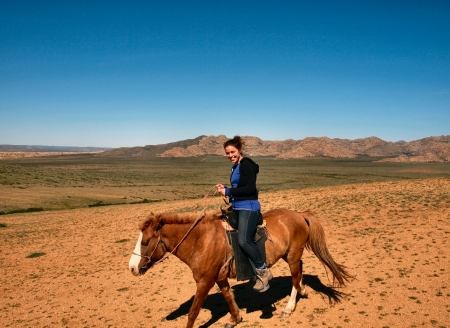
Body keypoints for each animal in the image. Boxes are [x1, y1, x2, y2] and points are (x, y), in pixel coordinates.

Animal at [128, 209, 354, 326]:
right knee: (299, 272)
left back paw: (289, 308)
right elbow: (229, 297)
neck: (201, 240)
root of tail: (299, 214)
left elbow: (193, 312)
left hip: (292, 255)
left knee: (295, 276)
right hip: (291, 255)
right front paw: (235, 318)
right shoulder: (219, 277)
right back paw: (303, 291)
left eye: (146, 241)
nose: (132, 268)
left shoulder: (204, 282)